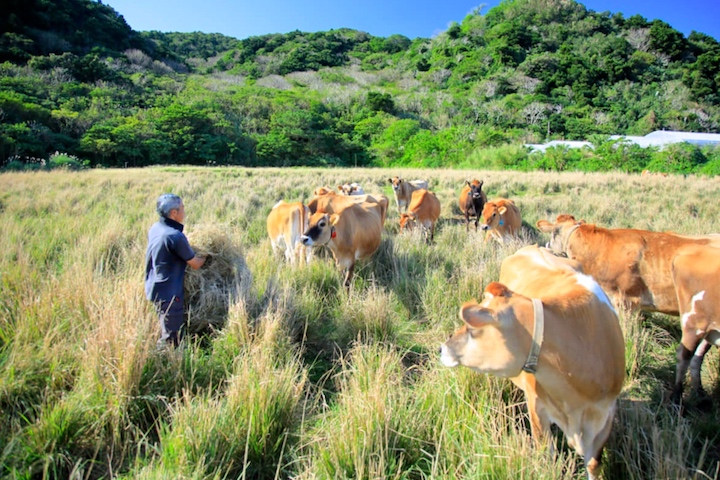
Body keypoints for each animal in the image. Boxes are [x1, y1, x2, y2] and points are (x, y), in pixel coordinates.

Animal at [438, 246, 624, 478]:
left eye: (472, 329)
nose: (442, 348)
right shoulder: (537, 406)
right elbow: (547, 456)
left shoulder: (606, 416)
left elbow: (593, 465)